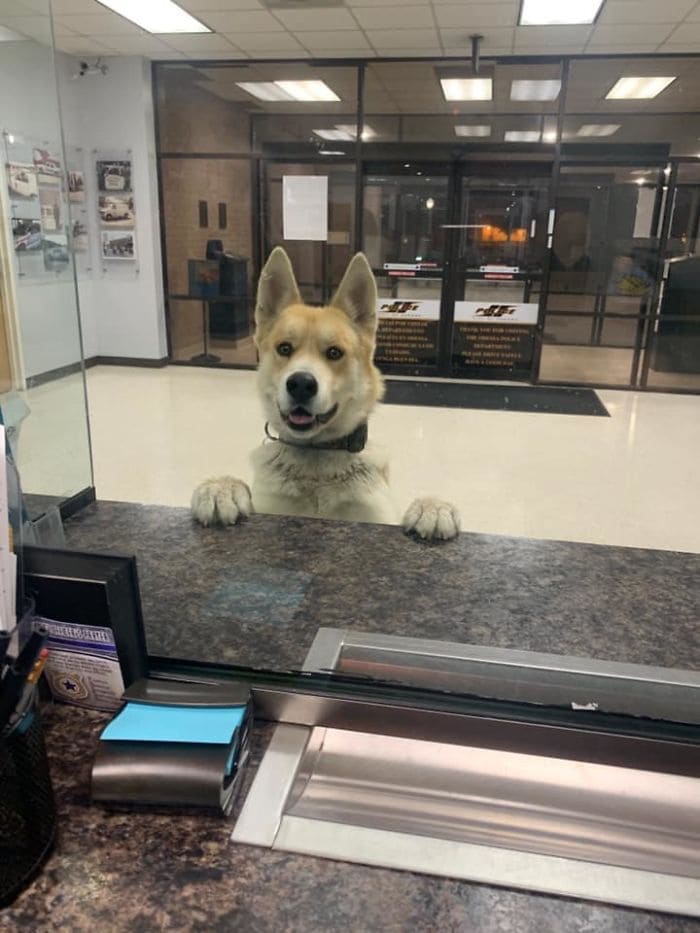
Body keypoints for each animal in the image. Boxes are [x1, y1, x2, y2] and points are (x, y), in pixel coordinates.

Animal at [191, 248, 462, 544]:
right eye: (284, 348)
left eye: (334, 353)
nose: (300, 384)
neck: (316, 455)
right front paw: (222, 487)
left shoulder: (379, 517)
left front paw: (432, 507)